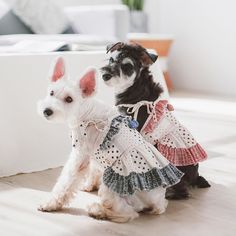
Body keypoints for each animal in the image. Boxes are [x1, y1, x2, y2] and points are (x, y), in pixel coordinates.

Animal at [38, 57, 183, 223]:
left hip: (111, 186)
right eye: (51, 92)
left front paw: (50, 204)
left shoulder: (80, 155)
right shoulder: (94, 155)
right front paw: (88, 185)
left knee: (129, 213)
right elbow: (93, 170)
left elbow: (65, 183)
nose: (47, 111)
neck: (85, 113)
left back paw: (98, 211)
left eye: (69, 99)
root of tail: (158, 203)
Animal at [100, 42, 211, 199]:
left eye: (127, 66)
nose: (105, 75)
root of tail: (195, 177)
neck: (135, 89)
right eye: (111, 59)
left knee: (182, 190)